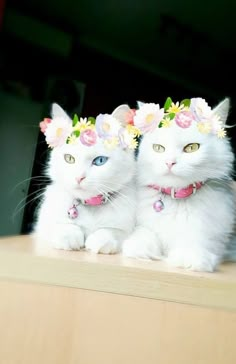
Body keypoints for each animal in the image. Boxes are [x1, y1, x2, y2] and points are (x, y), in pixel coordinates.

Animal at [33, 104, 136, 255]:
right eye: (69, 158)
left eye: (100, 161)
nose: (79, 177)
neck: (90, 206)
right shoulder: (43, 226)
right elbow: (60, 225)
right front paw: (69, 235)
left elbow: (115, 231)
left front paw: (100, 239)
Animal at [122, 96, 235, 270]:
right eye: (158, 148)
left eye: (192, 148)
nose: (170, 162)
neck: (177, 200)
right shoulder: (146, 224)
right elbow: (145, 235)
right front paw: (140, 249)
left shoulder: (211, 234)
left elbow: (195, 242)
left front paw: (187, 258)